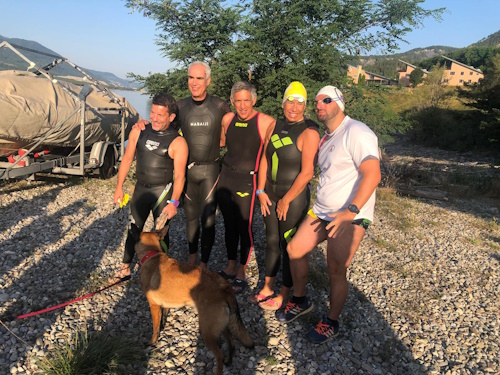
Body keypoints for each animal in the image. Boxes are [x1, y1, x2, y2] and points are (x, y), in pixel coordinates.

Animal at [131, 225, 254, 374]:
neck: (152, 254)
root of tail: (224, 288)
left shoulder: (154, 306)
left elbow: (155, 327)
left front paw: (152, 341)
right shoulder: (164, 305)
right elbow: (162, 319)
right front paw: (162, 326)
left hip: (207, 331)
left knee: (219, 356)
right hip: (222, 326)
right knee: (232, 344)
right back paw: (228, 360)